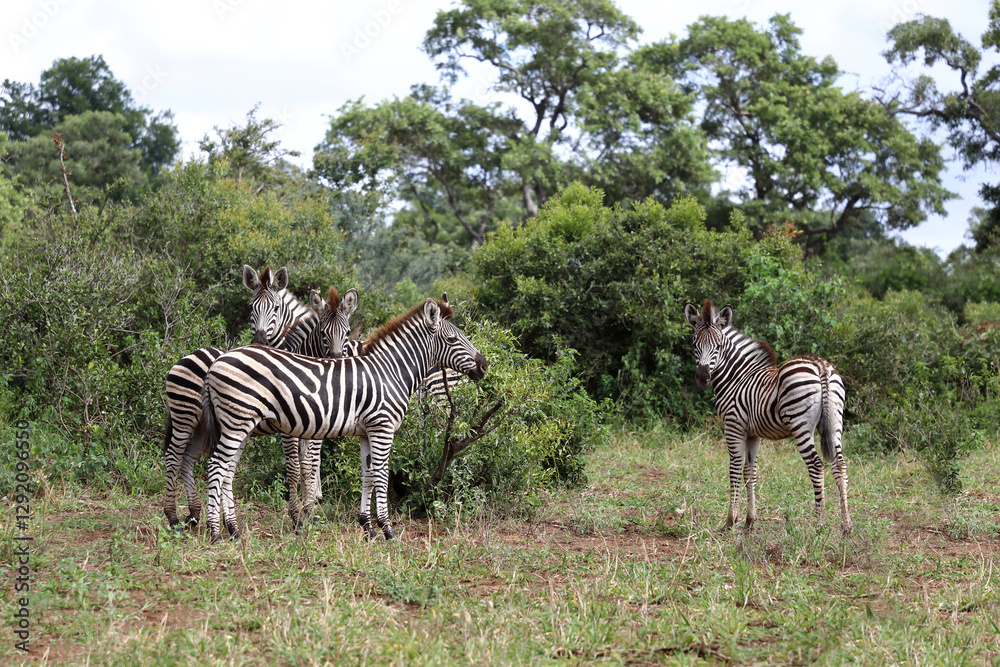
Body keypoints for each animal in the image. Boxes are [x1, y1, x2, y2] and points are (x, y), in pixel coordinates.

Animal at [194, 298, 488, 543]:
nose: (484, 365)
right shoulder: (382, 428)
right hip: (236, 422)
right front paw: (387, 529)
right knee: (216, 466)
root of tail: (217, 361)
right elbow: (381, 475)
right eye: (453, 339)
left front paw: (367, 527)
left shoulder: (366, 432)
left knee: (227, 470)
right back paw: (215, 532)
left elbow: (367, 475)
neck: (390, 372)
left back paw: (233, 530)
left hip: (239, 424)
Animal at [683, 299, 852, 535]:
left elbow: (734, 471)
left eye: (718, 346)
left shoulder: (734, 427)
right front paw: (749, 522)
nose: (702, 377)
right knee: (840, 465)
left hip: (800, 425)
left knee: (817, 466)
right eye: (694, 344)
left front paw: (730, 521)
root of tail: (820, 365)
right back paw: (846, 526)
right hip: (835, 422)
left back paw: (818, 526)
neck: (736, 377)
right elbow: (750, 473)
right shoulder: (754, 434)